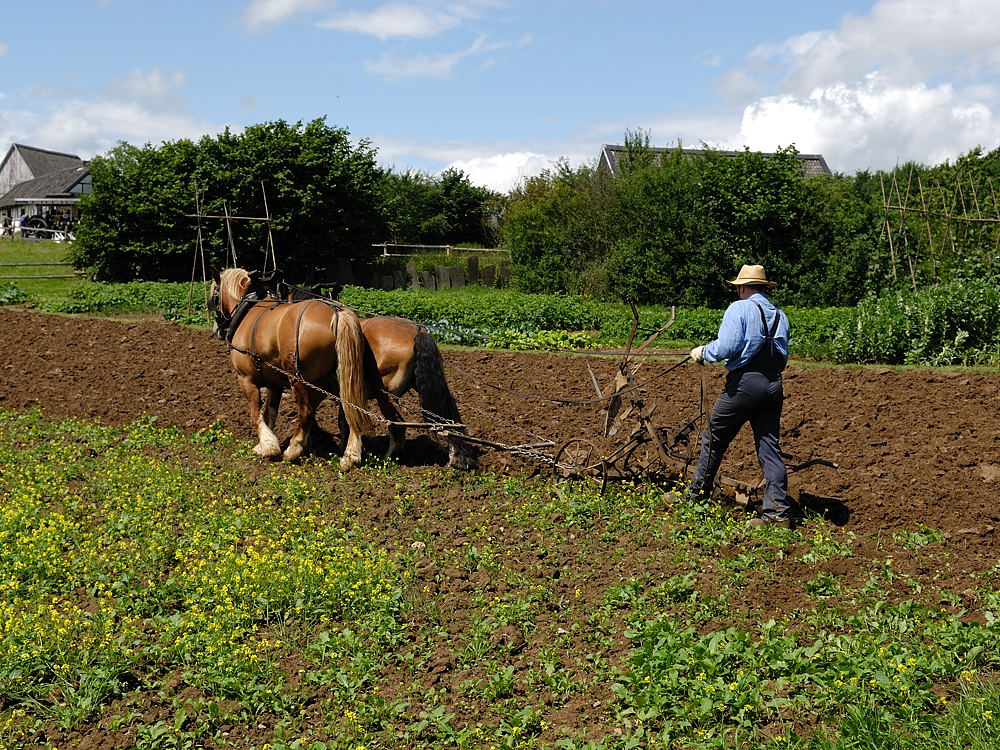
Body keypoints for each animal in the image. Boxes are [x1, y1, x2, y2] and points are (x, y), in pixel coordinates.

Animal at [209, 268, 374, 470]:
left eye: (214, 294)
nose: (216, 329)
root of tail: (336, 312)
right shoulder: (275, 383)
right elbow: (270, 412)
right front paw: (268, 443)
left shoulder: (246, 379)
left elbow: (255, 413)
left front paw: (267, 446)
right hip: (340, 379)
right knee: (350, 411)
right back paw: (350, 454)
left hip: (299, 379)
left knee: (306, 412)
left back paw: (294, 449)